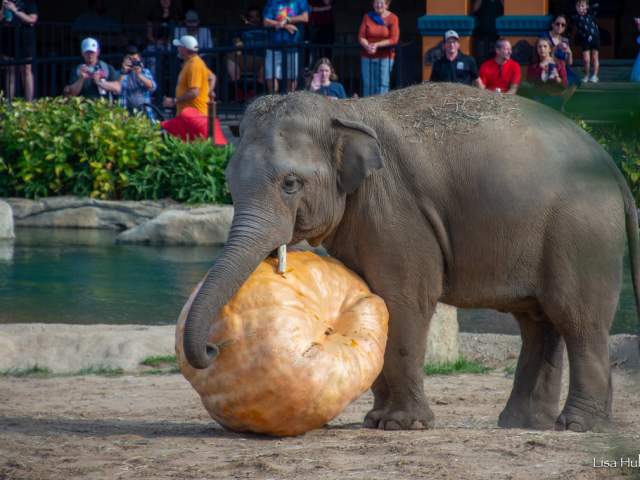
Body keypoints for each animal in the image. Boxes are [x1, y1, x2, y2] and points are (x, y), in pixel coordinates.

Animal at [183, 82, 640, 432]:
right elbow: (375, 298)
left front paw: (399, 425)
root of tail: (613, 167)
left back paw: (578, 427)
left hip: (582, 234)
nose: (212, 349)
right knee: (538, 322)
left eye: (290, 183)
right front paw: (375, 421)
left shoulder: (398, 211)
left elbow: (403, 301)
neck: (343, 111)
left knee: (577, 319)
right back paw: (523, 424)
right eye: (228, 181)